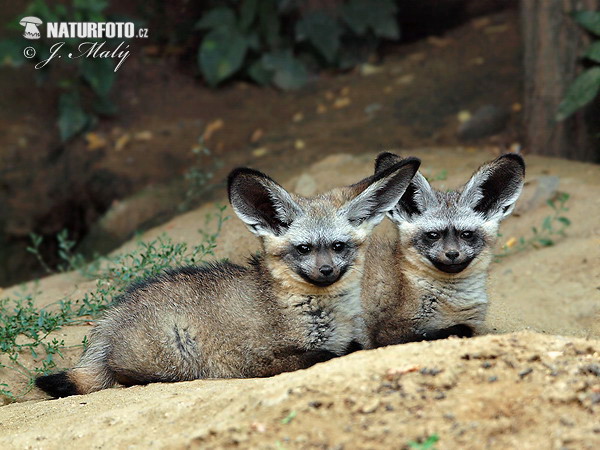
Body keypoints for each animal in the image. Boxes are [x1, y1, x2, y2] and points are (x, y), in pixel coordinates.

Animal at [36, 156, 422, 396]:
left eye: (339, 246)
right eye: (304, 249)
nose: (326, 271)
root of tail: (113, 314)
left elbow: (355, 346)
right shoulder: (263, 359)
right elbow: (325, 356)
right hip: (174, 354)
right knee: (126, 375)